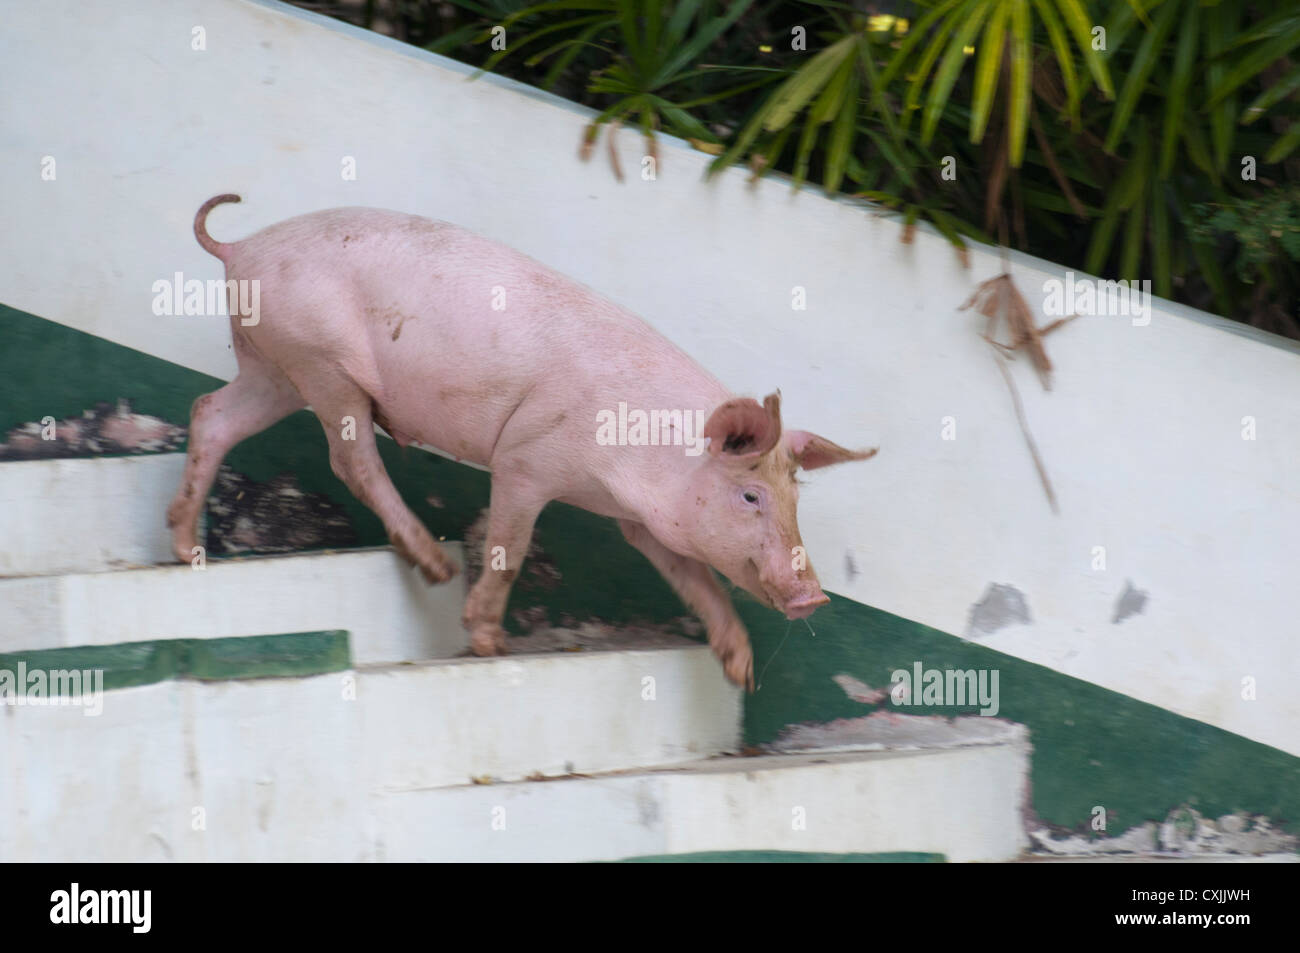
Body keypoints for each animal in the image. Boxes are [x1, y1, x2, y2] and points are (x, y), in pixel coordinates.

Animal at [168, 194, 877, 689]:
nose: (813, 595)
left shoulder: (641, 521)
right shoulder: (527, 461)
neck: (645, 457)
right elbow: (510, 548)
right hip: (323, 363)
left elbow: (698, 579)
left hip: (277, 363)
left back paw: (183, 548)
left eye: (795, 499)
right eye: (752, 496)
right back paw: (436, 564)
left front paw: (742, 674)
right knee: (350, 459)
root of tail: (241, 247)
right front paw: (490, 645)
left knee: (211, 413)